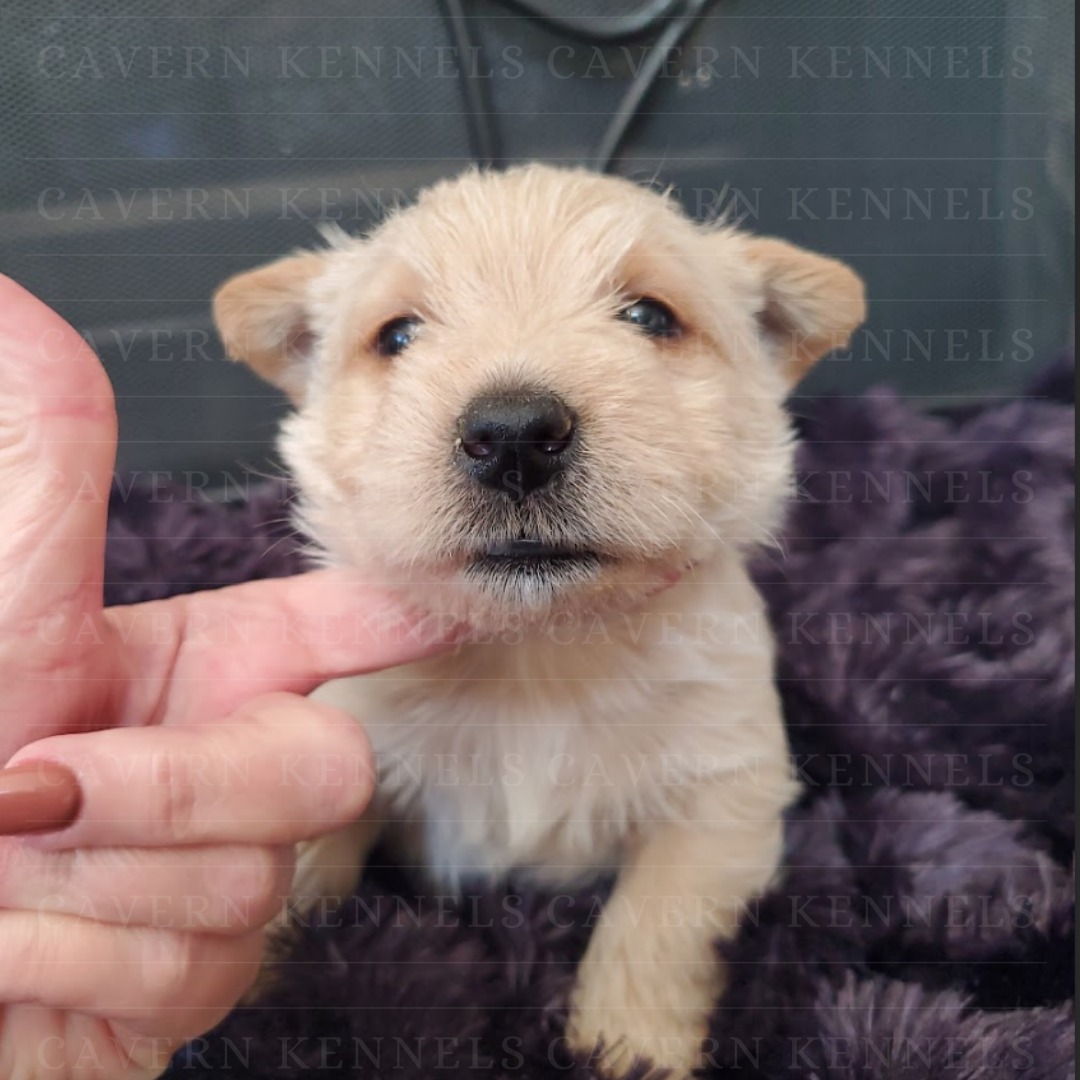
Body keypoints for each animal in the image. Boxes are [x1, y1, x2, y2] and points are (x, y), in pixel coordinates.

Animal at [212, 164, 865, 1077]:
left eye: (650, 316)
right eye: (398, 334)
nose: (514, 432)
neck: (538, 653)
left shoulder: (723, 789)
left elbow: (655, 925)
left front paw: (628, 1051)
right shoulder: (343, 738)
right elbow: (302, 863)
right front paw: (244, 999)